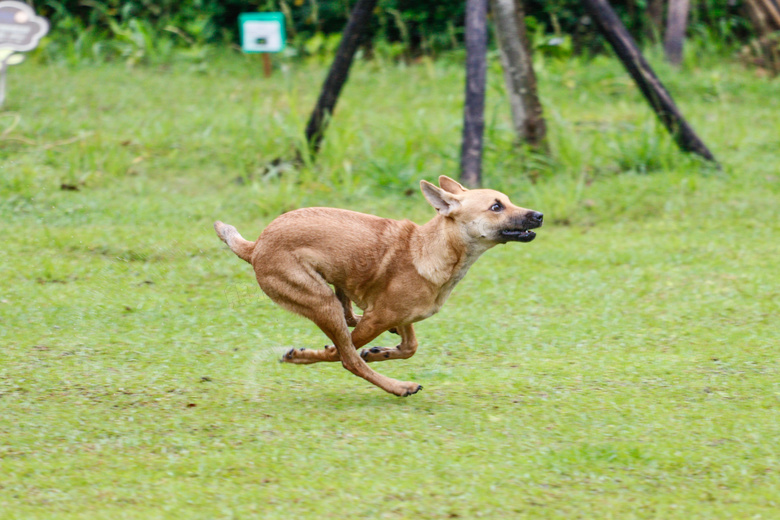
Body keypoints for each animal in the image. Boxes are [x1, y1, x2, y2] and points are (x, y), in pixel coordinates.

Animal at [213, 174, 544, 394]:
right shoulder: (379, 317)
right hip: (321, 301)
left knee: (350, 318)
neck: (428, 248)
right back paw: (399, 387)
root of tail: (255, 246)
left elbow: (409, 346)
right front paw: (308, 354)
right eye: (496, 207)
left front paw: (379, 351)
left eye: (508, 201)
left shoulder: (402, 316)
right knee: (348, 358)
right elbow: (342, 352)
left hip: (336, 290)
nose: (539, 215)